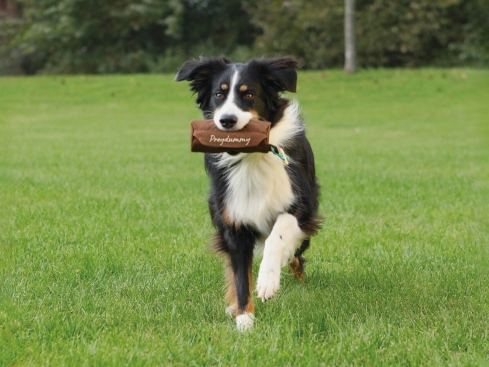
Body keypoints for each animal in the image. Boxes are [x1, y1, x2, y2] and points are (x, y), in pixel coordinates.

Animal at [174, 56, 320, 332]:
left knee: (296, 253)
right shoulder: (234, 221)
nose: (227, 120)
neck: (251, 157)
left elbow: (278, 234)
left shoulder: (300, 205)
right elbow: (240, 276)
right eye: (219, 94)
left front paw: (268, 281)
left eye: (249, 94)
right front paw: (244, 320)